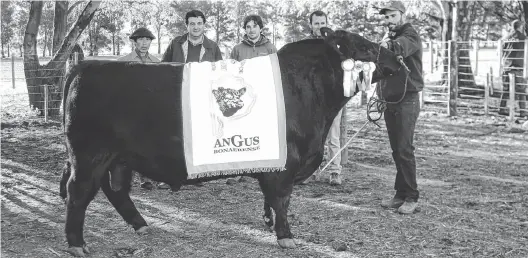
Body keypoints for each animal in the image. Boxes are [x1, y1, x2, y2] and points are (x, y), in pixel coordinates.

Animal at [58, 28, 400, 256]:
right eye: (364, 46)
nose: (397, 59)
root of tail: (85, 65)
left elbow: (272, 199)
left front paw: (269, 222)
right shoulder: (287, 163)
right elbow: (282, 199)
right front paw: (285, 235)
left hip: (118, 158)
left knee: (115, 190)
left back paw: (141, 225)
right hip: (89, 154)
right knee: (79, 191)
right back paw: (77, 244)